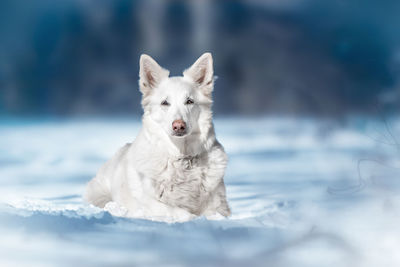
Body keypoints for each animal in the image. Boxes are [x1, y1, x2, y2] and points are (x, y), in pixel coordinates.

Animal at [83, 53, 230, 223]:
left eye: (189, 101)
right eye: (165, 103)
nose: (178, 125)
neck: (181, 158)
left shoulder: (220, 206)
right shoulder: (152, 204)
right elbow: (181, 212)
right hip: (99, 194)